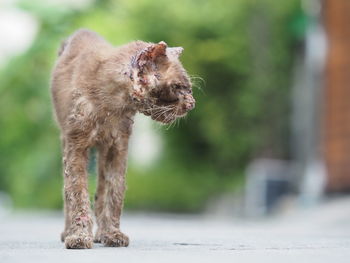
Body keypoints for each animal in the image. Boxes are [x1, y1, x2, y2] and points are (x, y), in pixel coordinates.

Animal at [50, 28, 196, 250]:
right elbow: (76, 191)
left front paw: (112, 234)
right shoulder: (76, 145)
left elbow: (115, 191)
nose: (192, 103)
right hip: (65, 139)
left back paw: (100, 233)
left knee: (101, 189)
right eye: (179, 87)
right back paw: (68, 232)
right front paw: (78, 237)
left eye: (189, 88)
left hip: (102, 152)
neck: (111, 103)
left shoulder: (117, 146)